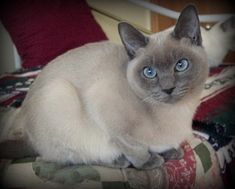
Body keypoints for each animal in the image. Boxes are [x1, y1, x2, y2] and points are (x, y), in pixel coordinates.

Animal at [0, 5, 209, 169]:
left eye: (181, 65)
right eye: (149, 72)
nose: (168, 89)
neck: (178, 113)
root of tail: (27, 137)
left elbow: (161, 145)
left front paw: (171, 151)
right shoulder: (103, 108)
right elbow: (134, 147)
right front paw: (149, 161)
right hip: (60, 94)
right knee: (69, 158)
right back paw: (122, 161)